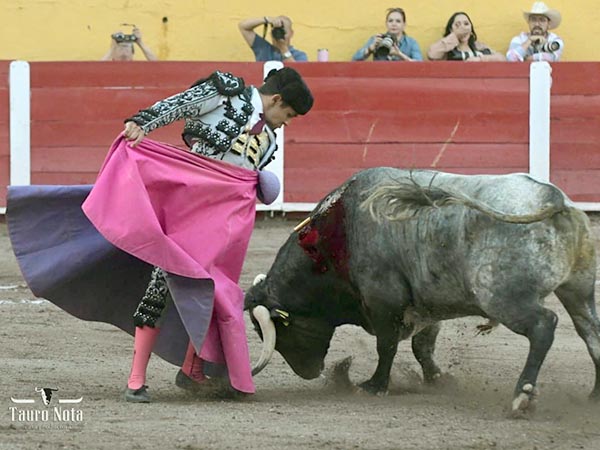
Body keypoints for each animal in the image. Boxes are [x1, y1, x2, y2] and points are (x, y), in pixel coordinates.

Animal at [245, 168, 600, 414]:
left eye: (280, 329)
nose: (309, 373)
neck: (335, 239)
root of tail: (552, 198)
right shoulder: (427, 304)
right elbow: (422, 346)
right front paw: (438, 379)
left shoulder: (383, 301)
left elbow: (387, 346)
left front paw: (374, 386)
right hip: (579, 291)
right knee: (591, 334)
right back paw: (595, 395)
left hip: (502, 297)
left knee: (543, 326)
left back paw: (521, 397)